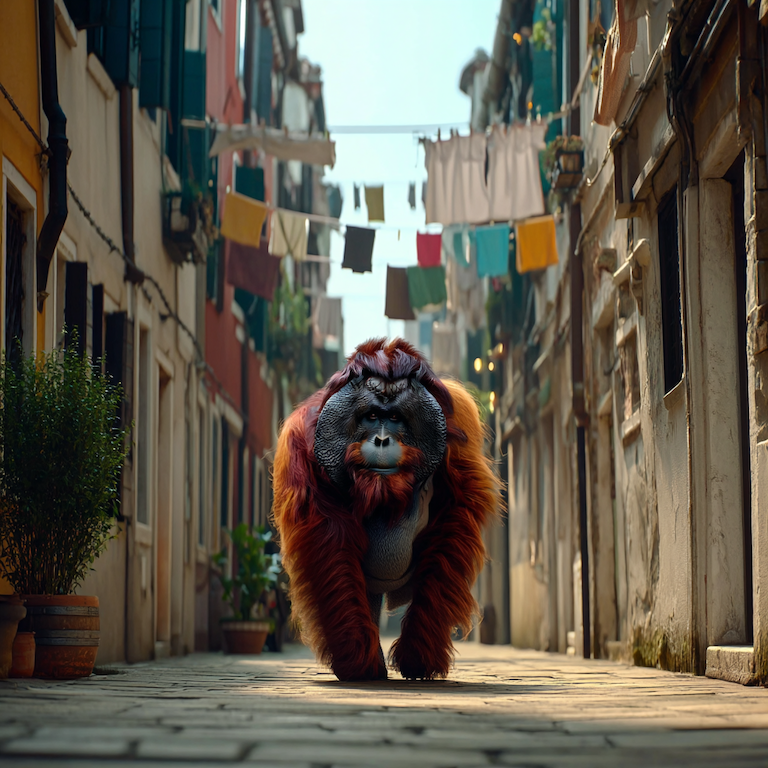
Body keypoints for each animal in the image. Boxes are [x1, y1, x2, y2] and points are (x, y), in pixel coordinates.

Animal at [272, 338, 500, 681]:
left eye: (394, 418)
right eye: (370, 415)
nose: (381, 439)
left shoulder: (460, 429)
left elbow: (451, 526)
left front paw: (418, 657)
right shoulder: (301, 443)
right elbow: (330, 541)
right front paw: (358, 663)